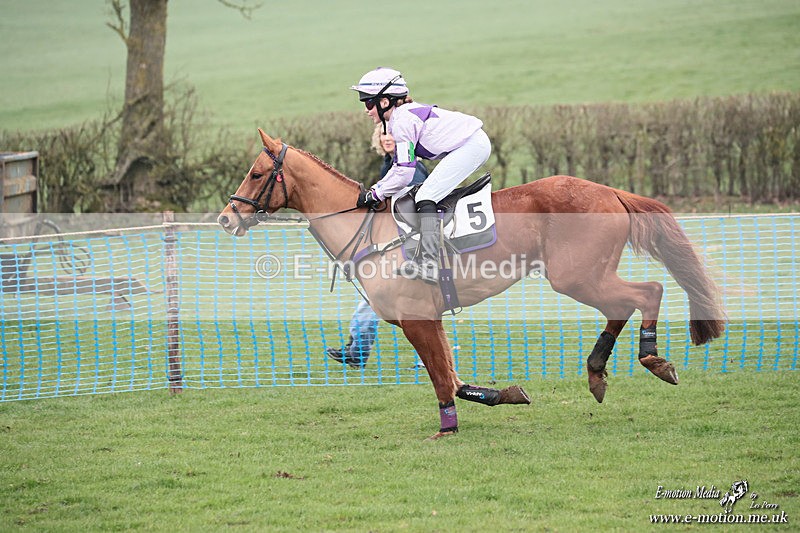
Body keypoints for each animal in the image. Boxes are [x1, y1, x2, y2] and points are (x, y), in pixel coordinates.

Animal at [218, 128, 726, 439]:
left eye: (257, 173)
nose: (226, 218)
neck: (369, 231)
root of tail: (610, 190)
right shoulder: (431, 319)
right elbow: (454, 376)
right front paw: (505, 394)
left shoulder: (417, 320)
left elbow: (442, 378)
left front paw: (446, 428)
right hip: (586, 276)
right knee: (627, 303)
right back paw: (598, 372)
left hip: (577, 276)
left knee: (646, 292)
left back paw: (650, 359)